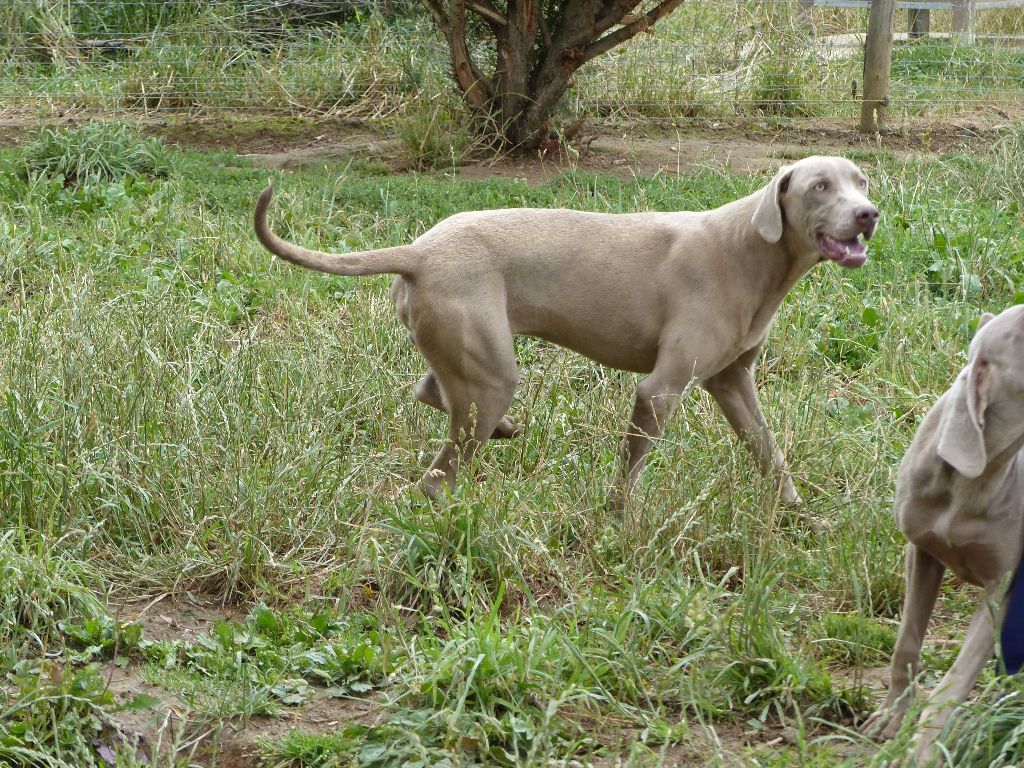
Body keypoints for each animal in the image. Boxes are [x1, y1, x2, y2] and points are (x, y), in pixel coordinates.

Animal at [253, 156, 880, 505]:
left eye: (861, 180)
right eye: (820, 186)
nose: (869, 213)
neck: (754, 253)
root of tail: (420, 251)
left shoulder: (732, 381)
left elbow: (770, 451)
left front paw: (797, 513)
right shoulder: (660, 389)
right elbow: (631, 471)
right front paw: (619, 522)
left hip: (468, 357)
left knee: (431, 390)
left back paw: (504, 430)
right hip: (490, 371)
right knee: (437, 475)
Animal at [868, 305, 1024, 765]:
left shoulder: (1003, 588)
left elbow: (956, 677)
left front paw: (921, 748)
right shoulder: (921, 549)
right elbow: (906, 643)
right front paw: (891, 717)